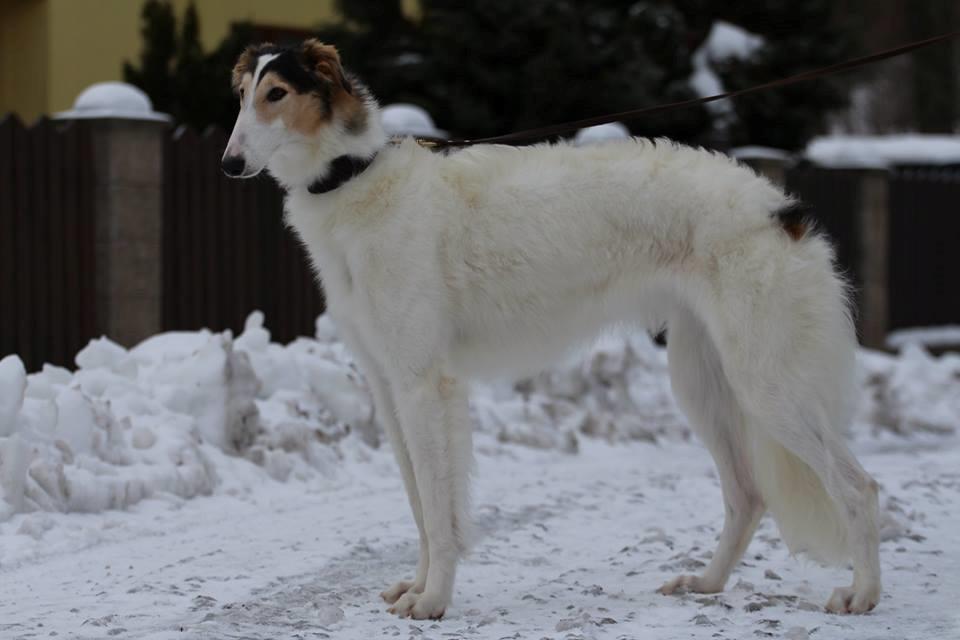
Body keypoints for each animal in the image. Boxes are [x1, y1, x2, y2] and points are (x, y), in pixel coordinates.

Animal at [221, 38, 880, 620]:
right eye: (243, 94)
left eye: (278, 93)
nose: (229, 163)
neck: (356, 177)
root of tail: (782, 209)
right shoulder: (388, 385)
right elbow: (420, 505)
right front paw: (417, 586)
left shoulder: (422, 383)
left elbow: (436, 507)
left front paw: (433, 601)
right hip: (702, 379)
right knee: (747, 495)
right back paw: (707, 583)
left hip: (765, 382)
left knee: (858, 487)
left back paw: (863, 594)